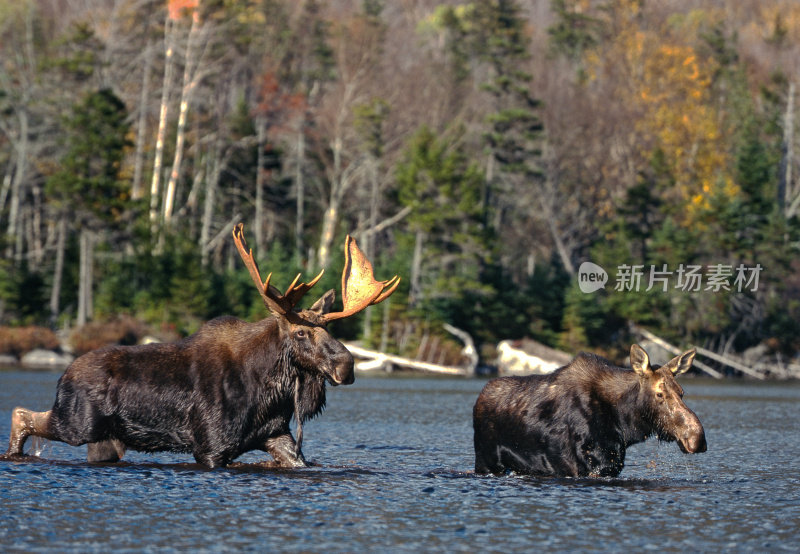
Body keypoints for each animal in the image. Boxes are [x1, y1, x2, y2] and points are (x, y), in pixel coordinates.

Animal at [2, 222, 396, 468]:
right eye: (301, 333)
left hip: (105, 440)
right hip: (77, 423)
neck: (271, 391)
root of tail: (63, 375)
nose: (347, 366)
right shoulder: (211, 446)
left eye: (330, 330)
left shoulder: (275, 434)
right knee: (21, 413)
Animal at [472, 340, 708, 474]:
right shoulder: (583, 466)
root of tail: (480, 396)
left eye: (681, 392)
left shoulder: (610, 464)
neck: (623, 424)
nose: (696, 438)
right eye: (659, 394)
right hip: (485, 460)